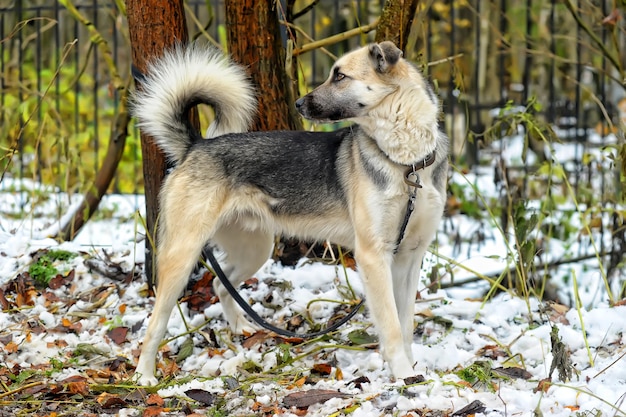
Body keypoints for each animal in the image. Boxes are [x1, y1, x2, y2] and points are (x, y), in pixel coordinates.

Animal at [129, 40, 446, 386]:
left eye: (340, 76)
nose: (298, 103)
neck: (407, 163)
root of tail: (195, 146)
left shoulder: (410, 257)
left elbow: (406, 324)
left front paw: (413, 369)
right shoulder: (374, 256)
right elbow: (391, 326)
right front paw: (404, 374)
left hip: (255, 250)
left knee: (219, 285)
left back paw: (240, 328)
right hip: (182, 256)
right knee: (155, 322)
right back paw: (144, 375)